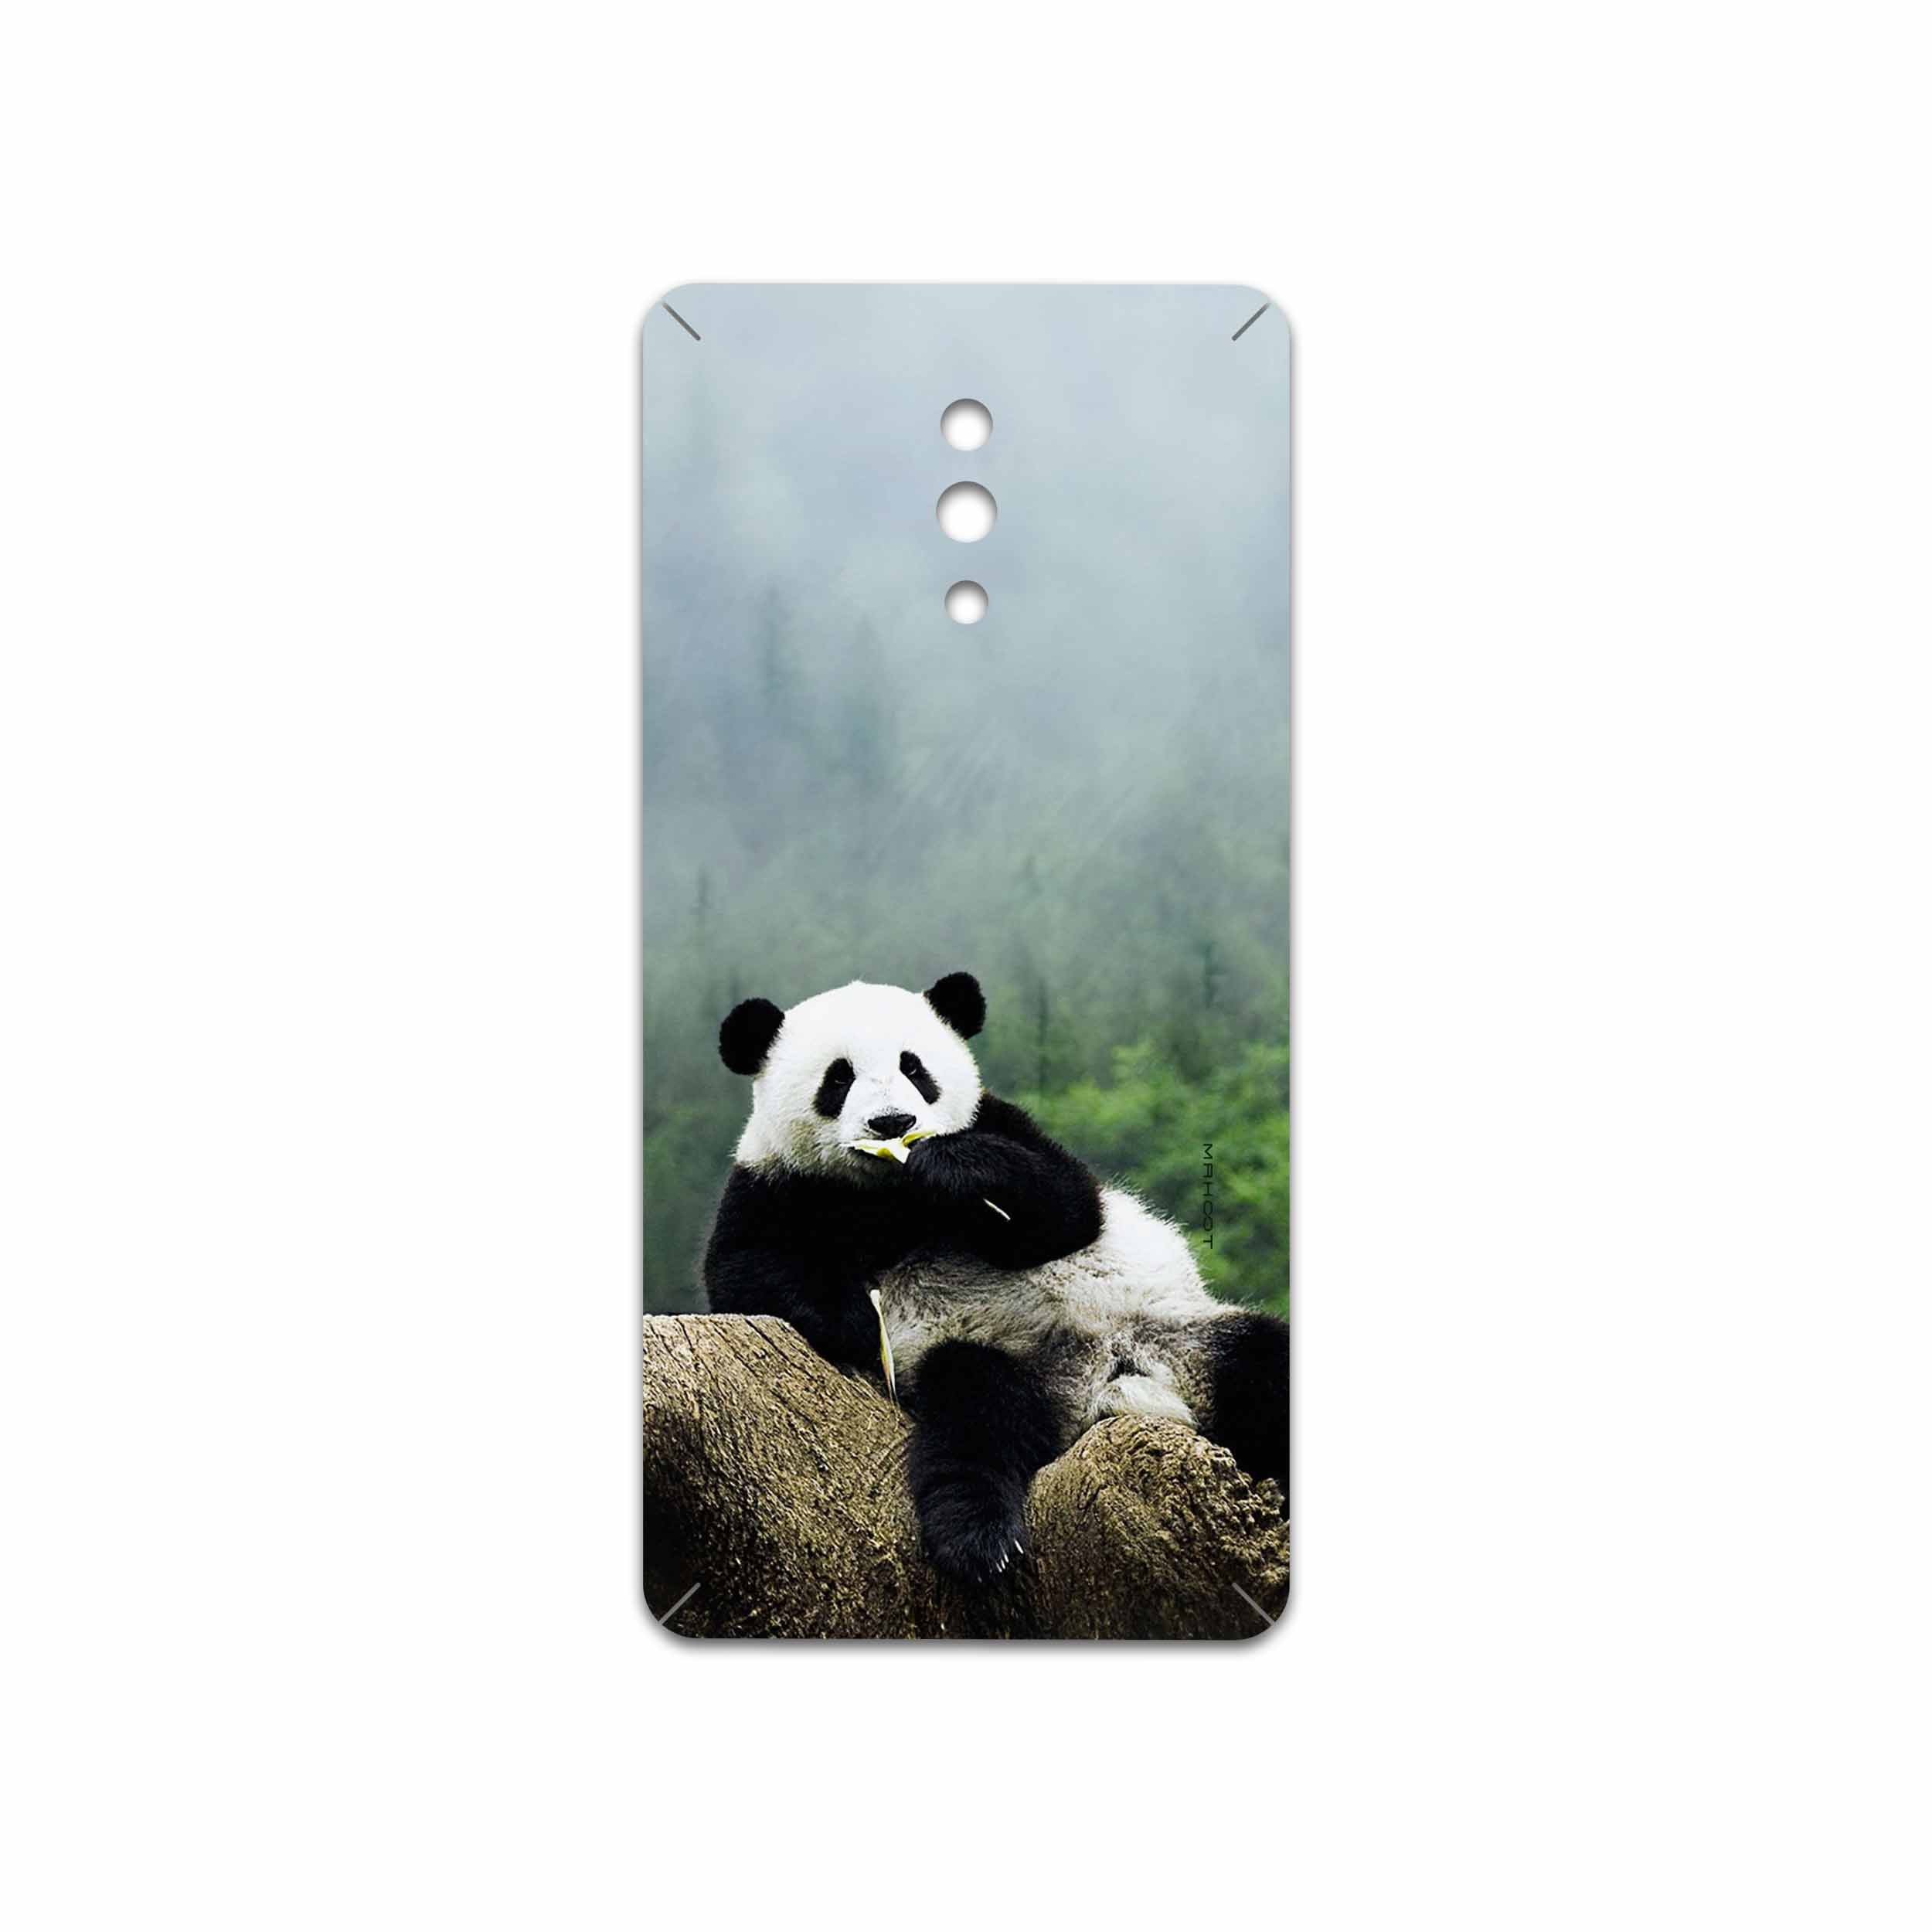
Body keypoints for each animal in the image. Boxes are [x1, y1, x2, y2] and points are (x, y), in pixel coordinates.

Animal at [703, 971, 1289, 1583]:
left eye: (915, 1068)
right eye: (839, 1077)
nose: (893, 1123)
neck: (888, 1194)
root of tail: (1103, 1386)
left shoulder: (1000, 1123)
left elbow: (1068, 1207)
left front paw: (949, 1168)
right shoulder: (774, 1184)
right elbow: (745, 1270)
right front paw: (858, 1321)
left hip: (1180, 1334)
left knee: (1264, 1364)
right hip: (991, 1359)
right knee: (975, 1421)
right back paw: (980, 1541)